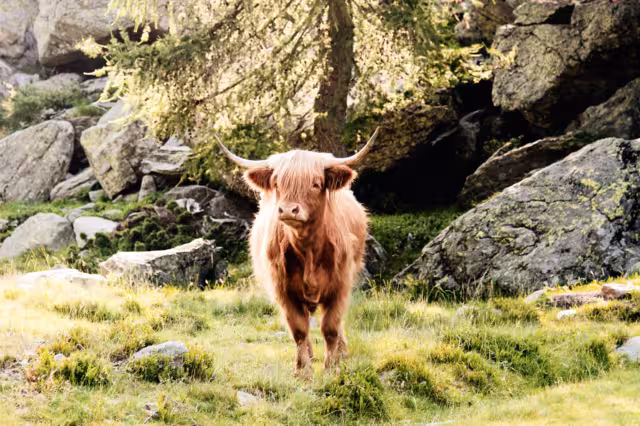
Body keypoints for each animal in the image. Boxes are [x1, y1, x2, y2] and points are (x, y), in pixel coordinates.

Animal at [215, 128, 379, 376]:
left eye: (315, 183)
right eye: (277, 183)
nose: (287, 210)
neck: (308, 248)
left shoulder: (340, 286)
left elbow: (331, 327)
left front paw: (332, 369)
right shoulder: (284, 290)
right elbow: (299, 330)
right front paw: (303, 372)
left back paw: (342, 351)